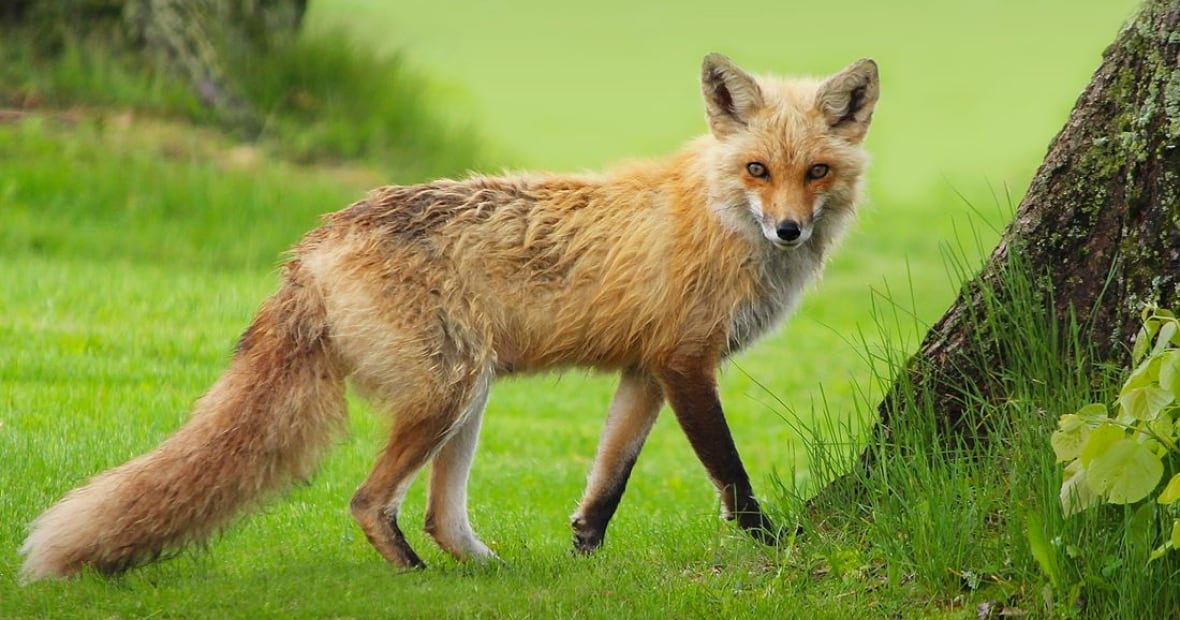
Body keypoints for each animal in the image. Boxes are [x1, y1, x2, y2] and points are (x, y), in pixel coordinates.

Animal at [20, 53, 879, 580]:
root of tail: (315, 242)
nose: (789, 230)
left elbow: (609, 481)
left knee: (439, 516)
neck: (718, 216)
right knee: (369, 502)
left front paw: (584, 556)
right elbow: (733, 477)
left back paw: (490, 575)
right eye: (758, 169)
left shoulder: (646, 369)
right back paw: (413, 576)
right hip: (448, 393)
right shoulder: (686, 363)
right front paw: (778, 548)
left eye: (817, 172)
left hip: (471, 397)